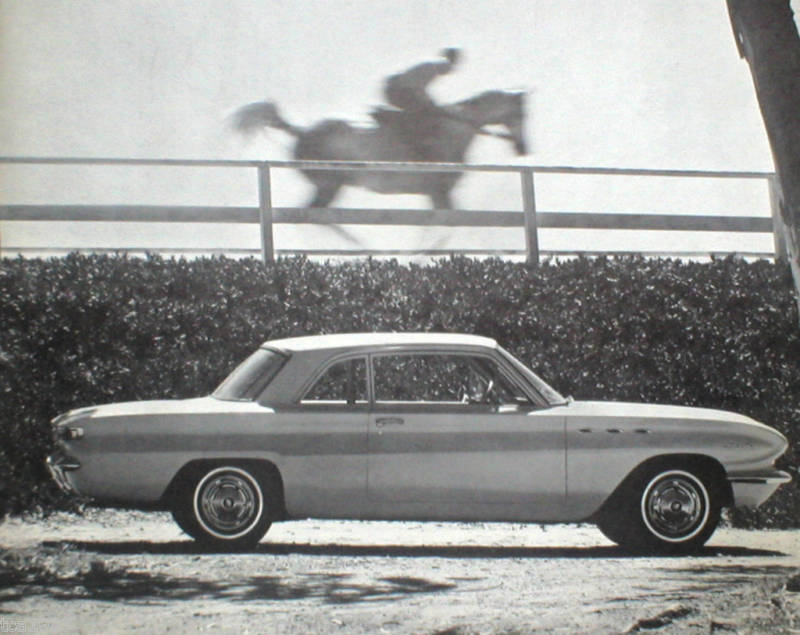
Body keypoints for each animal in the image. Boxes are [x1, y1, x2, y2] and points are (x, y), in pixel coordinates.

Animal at [234, 90, 528, 209]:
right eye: (519, 113)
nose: (523, 147)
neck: (451, 131)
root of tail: (301, 132)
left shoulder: (437, 194)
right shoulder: (439, 192)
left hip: (329, 186)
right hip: (329, 184)